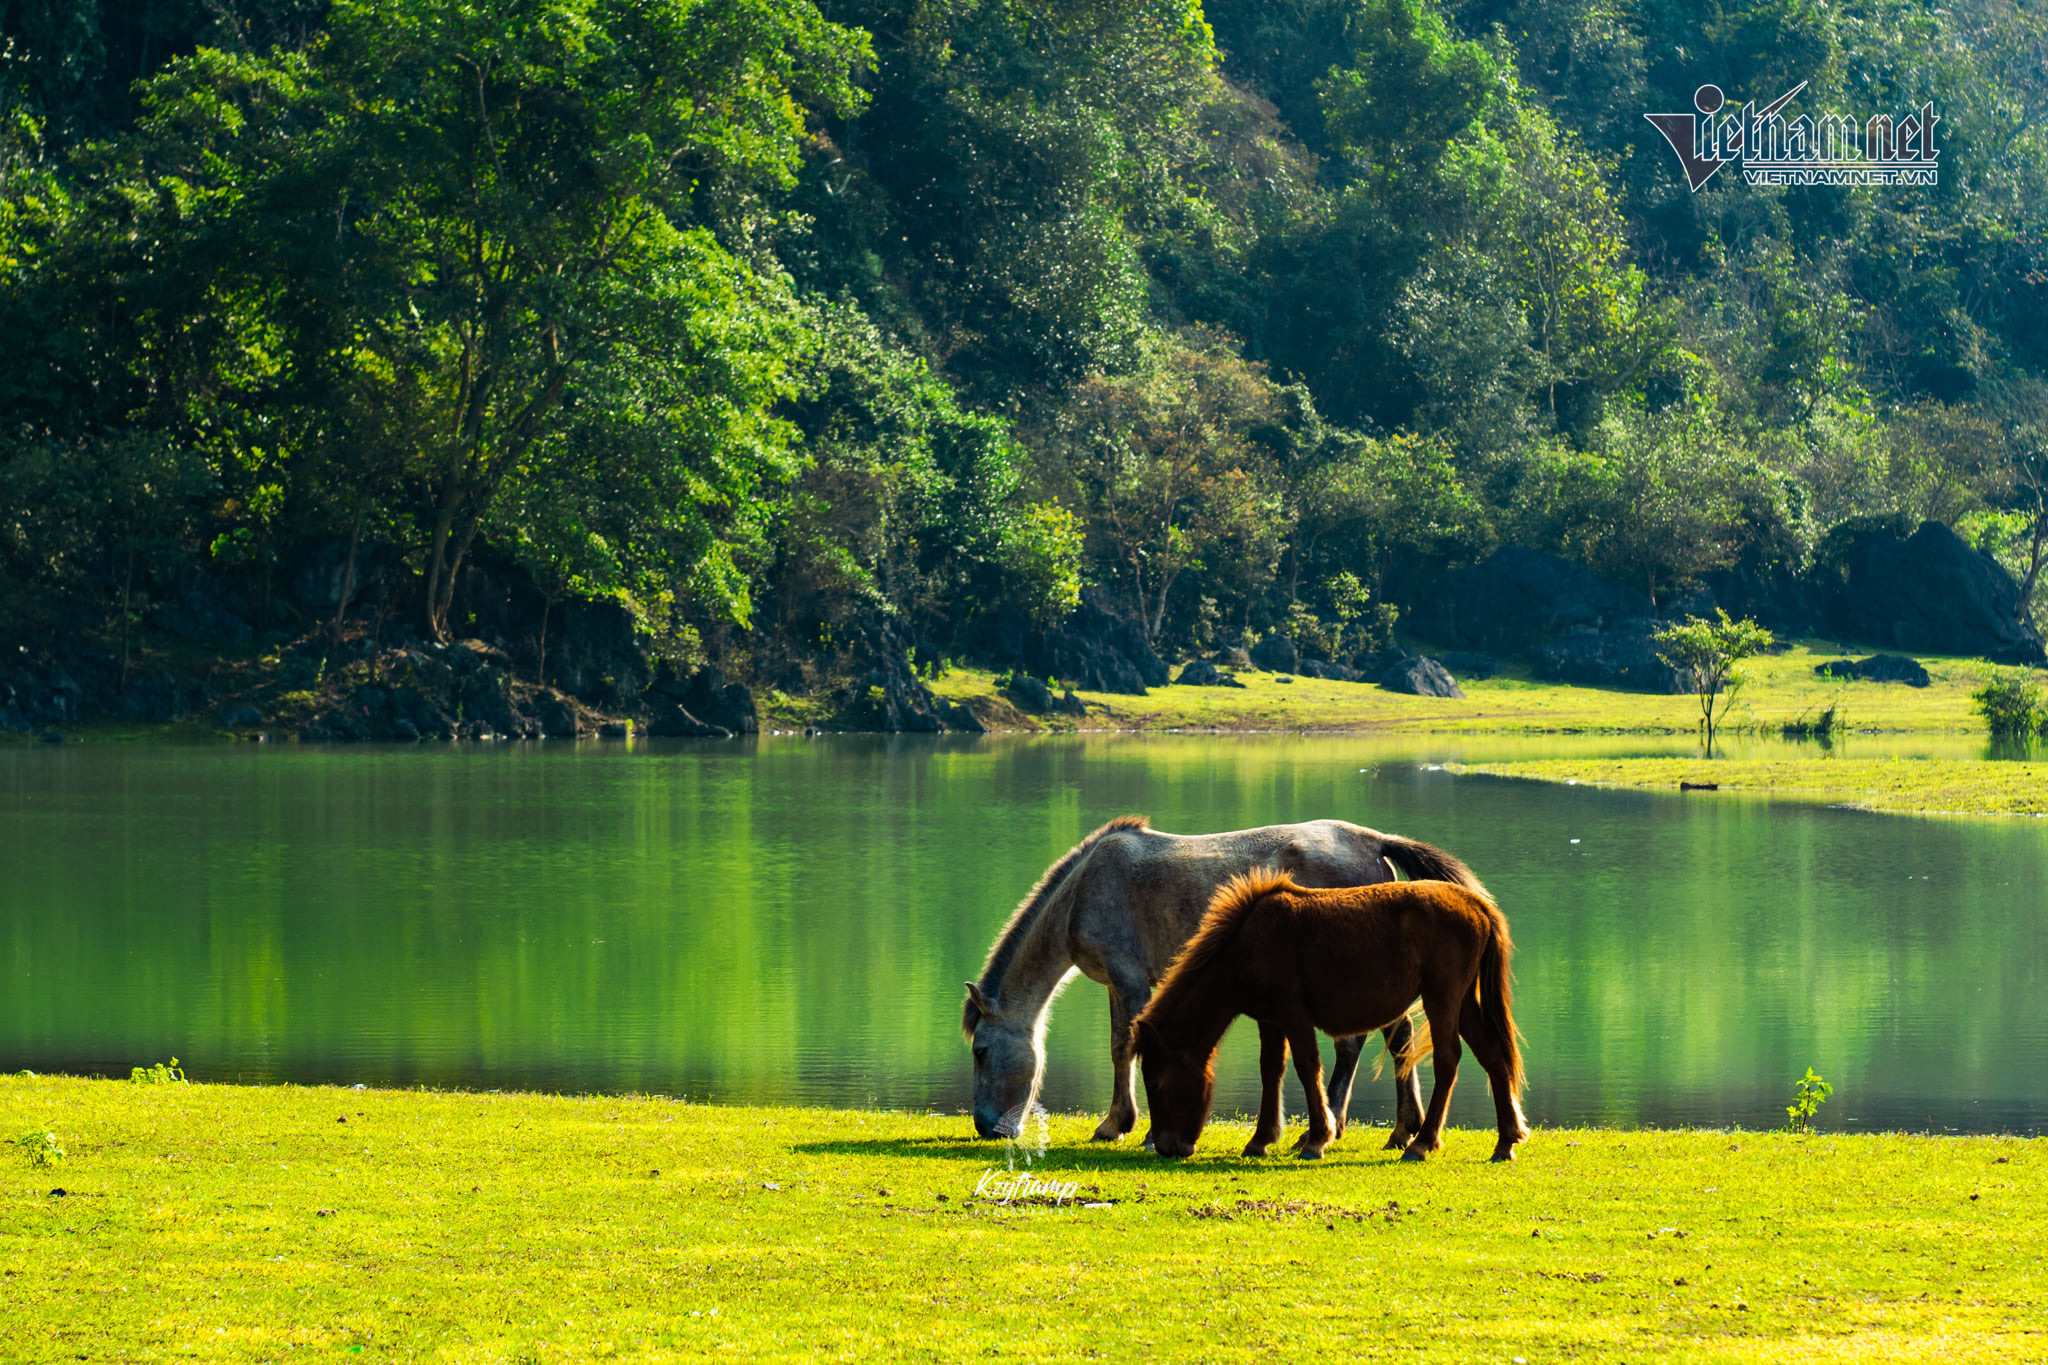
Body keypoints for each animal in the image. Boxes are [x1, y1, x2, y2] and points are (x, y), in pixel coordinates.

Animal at [958, 818, 1490, 1146]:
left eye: (980, 1051)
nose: (985, 1127)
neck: (1084, 889)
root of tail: (1373, 840)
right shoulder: (1114, 983)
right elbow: (1120, 1046)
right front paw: (1120, 1124)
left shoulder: (1128, 978)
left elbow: (1123, 1045)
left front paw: (1125, 1125)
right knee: (1394, 1037)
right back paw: (1398, 1130)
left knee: (1358, 1043)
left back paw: (1339, 1129)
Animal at [1130, 875, 1531, 1162]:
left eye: (1158, 1083)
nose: (1166, 1146)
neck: (1246, 947)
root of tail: (1478, 905)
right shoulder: (1270, 1020)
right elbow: (1271, 1071)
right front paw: (1260, 1141)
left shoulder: (1294, 1014)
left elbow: (1308, 1069)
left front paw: (1316, 1140)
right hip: (1463, 1003)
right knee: (1493, 1056)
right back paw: (1505, 1142)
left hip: (1442, 998)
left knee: (1448, 1059)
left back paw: (1421, 1143)